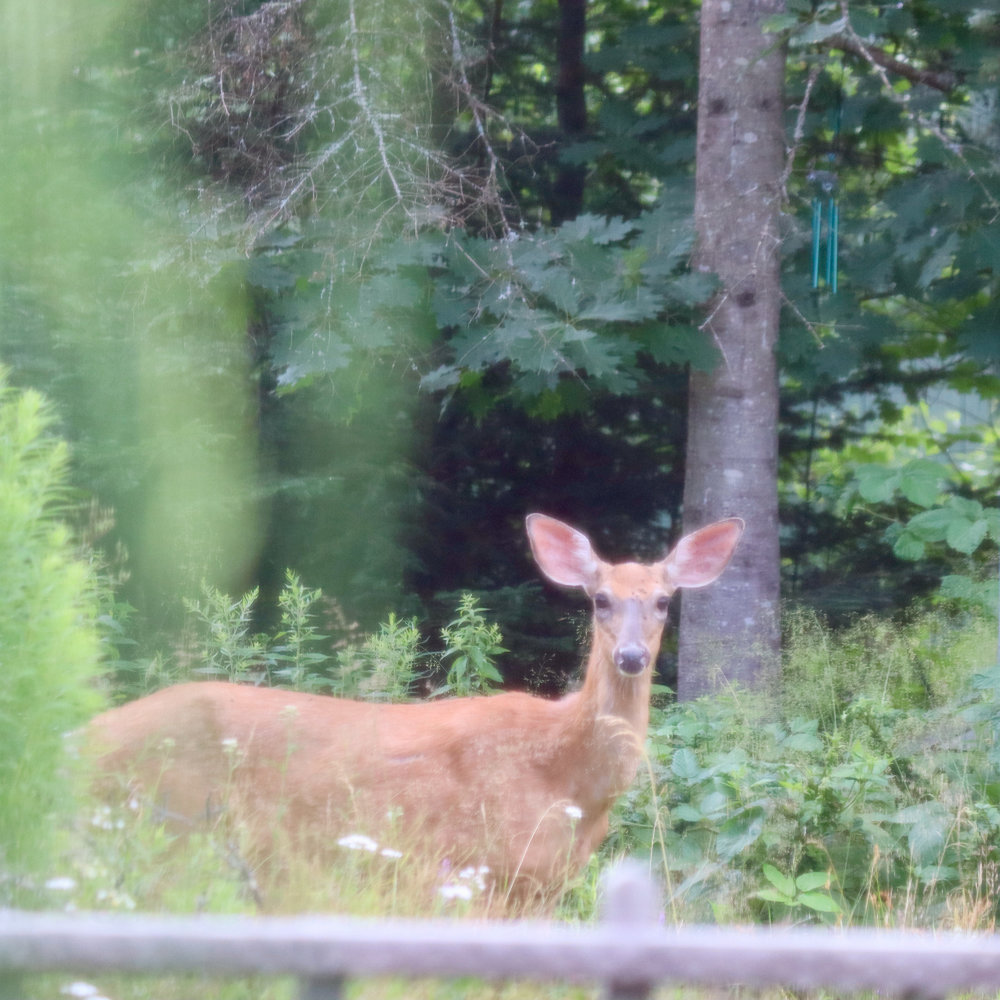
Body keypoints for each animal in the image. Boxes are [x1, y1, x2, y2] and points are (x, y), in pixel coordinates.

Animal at [88, 516, 744, 900]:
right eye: (600, 599)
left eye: (663, 601)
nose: (632, 656)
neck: (570, 780)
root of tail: (84, 734)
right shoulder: (476, 870)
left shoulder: (543, 887)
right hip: (163, 828)